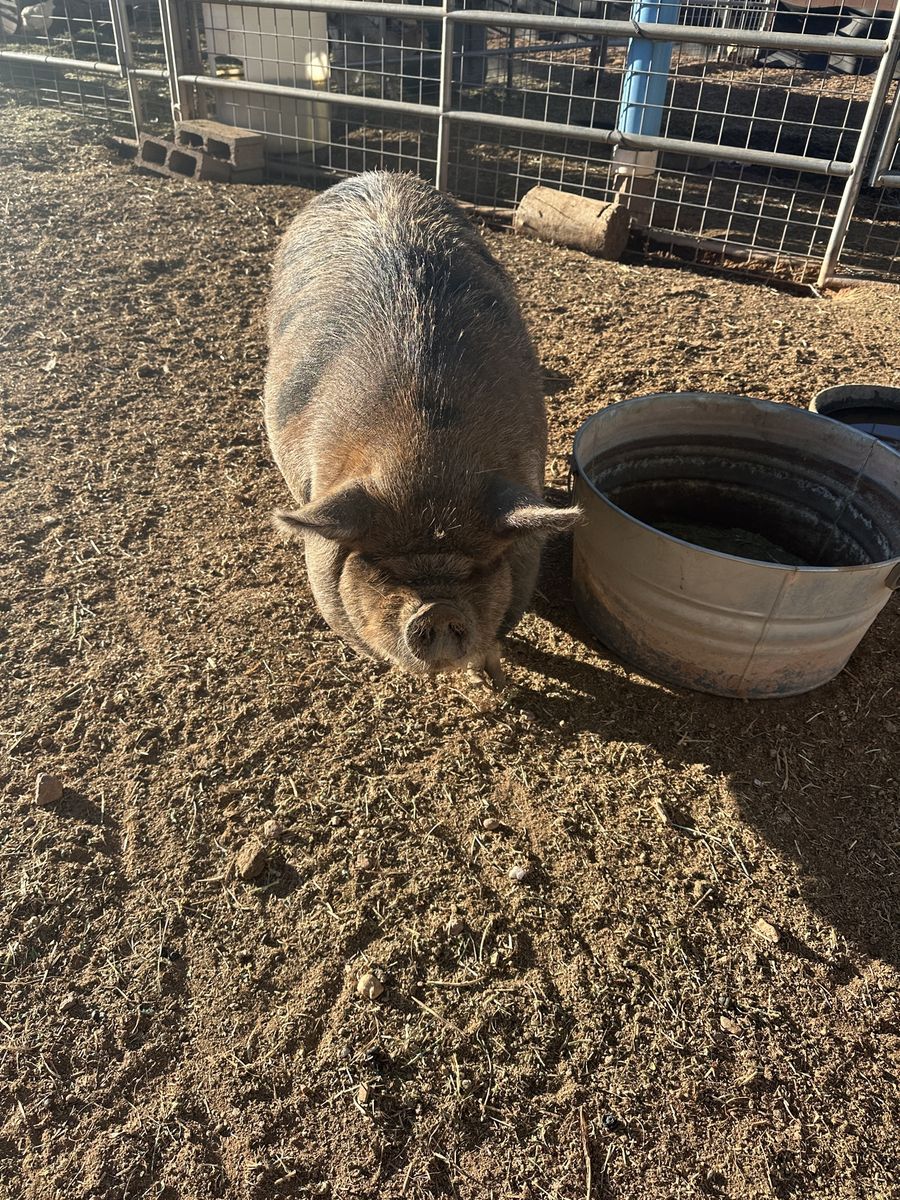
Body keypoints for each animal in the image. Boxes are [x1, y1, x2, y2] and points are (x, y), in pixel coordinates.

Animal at [263, 171, 580, 684]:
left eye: (480, 566)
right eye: (381, 568)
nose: (437, 610)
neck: (428, 454)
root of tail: (379, 175)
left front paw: (494, 680)